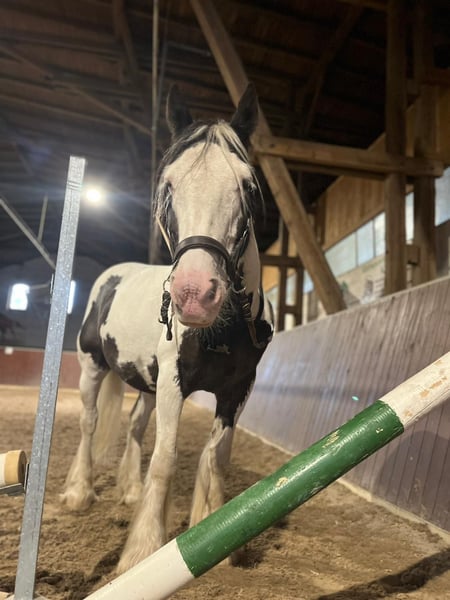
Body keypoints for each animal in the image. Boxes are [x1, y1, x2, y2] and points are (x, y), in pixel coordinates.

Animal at [60, 83, 274, 574]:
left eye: (249, 186)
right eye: (168, 185)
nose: (194, 293)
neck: (223, 331)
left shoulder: (237, 389)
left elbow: (217, 458)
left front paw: (213, 528)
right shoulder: (176, 382)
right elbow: (167, 457)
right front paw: (141, 552)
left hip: (146, 384)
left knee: (136, 427)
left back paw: (129, 491)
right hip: (92, 368)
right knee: (89, 422)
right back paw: (80, 491)